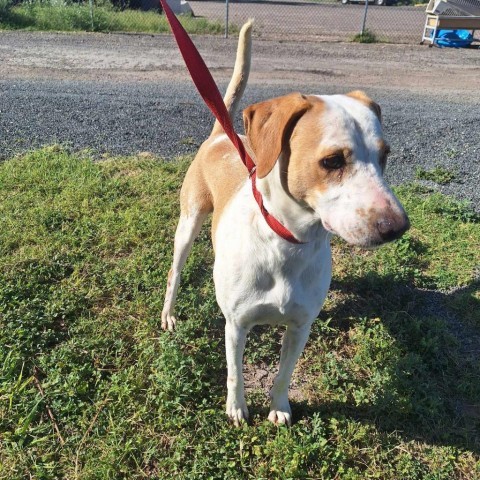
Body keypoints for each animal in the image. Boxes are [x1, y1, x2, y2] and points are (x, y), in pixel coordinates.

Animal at [161, 21, 408, 428]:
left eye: (384, 155)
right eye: (332, 161)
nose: (398, 227)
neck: (287, 244)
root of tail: (222, 135)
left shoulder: (299, 326)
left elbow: (284, 374)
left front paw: (278, 407)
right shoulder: (236, 325)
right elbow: (235, 374)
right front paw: (237, 409)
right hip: (188, 223)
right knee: (175, 273)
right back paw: (168, 313)